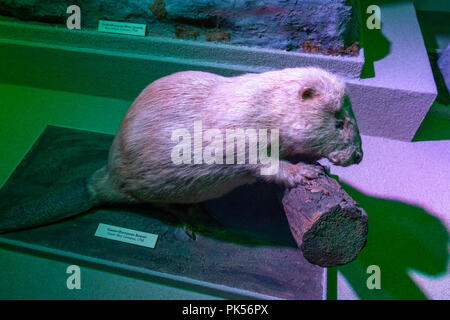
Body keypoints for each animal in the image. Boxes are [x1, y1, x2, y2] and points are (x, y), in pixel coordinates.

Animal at [0, 67, 362, 232]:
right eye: (340, 120)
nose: (359, 156)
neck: (265, 103)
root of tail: (97, 184)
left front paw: (321, 166)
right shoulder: (240, 134)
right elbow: (263, 164)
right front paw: (306, 171)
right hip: (151, 191)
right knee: (164, 206)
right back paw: (198, 220)